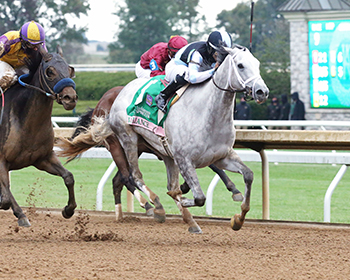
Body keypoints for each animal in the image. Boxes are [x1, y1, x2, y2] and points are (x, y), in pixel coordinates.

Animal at [0, 47, 78, 226]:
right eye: (50, 71)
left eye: (70, 69)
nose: (70, 98)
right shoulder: (1, 160)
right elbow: (6, 195)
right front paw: (21, 215)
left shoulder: (43, 158)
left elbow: (68, 177)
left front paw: (68, 210)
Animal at [73, 46, 268, 233]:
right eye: (240, 65)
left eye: (257, 64)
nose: (262, 91)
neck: (206, 113)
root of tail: (113, 98)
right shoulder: (184, 159)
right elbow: (198, 197)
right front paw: (182, 198)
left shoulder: (221, 156)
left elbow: (248, 175)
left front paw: (238, 218)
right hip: (126, 139)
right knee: (133, 176)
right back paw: (154, 206)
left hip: (163, 153)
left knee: (129, 180)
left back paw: (189, 222)